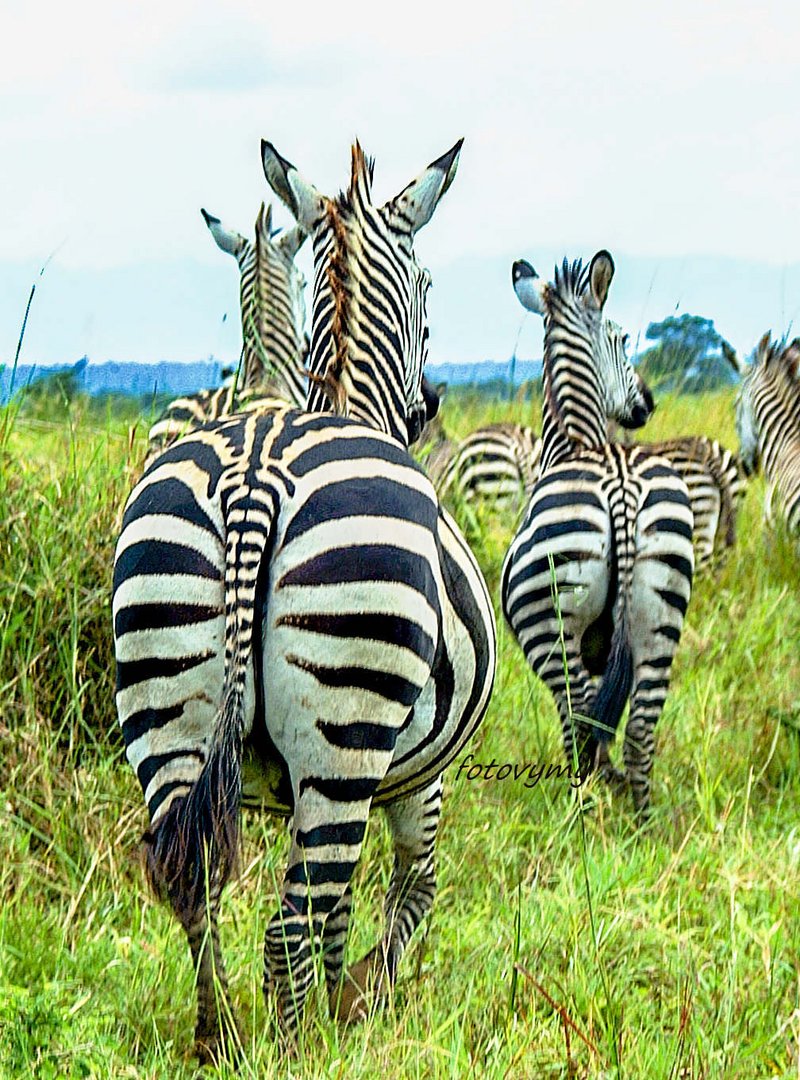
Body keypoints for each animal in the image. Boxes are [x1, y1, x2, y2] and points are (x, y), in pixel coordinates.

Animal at [498, 252, 690, 812]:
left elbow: (584, 717)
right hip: (661, 609)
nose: (648, 404)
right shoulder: (608, 649)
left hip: (549, 621)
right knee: (640, 727)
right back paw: (639, 815)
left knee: (578, 711)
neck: (577, 439)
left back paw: (580, 805)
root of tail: (620, 483)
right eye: (624, 340)